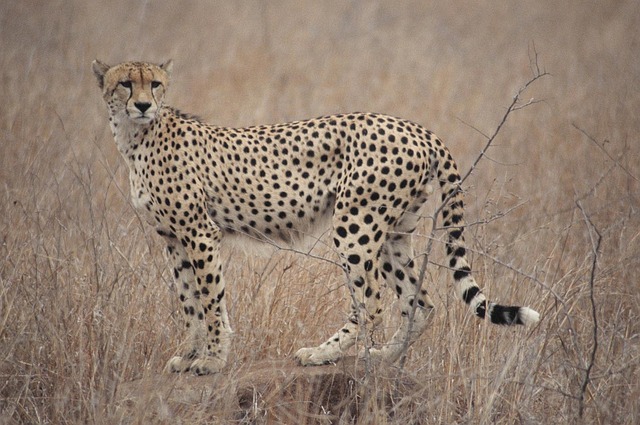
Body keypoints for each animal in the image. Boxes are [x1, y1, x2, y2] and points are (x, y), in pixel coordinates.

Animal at [92, 60, 540, 375]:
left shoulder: (200, 234)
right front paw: (187, 356)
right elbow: (189, 302)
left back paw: (324, 353)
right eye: (125, 83)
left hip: (355, 225)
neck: (136, 138)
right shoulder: (173, 239)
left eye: (154, 83)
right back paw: (382, 357)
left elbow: (211, 300)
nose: (143, 105)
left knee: (372, 301)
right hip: (395, 231)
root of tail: (414, 126)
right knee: (420, 301)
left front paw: (213, 360)